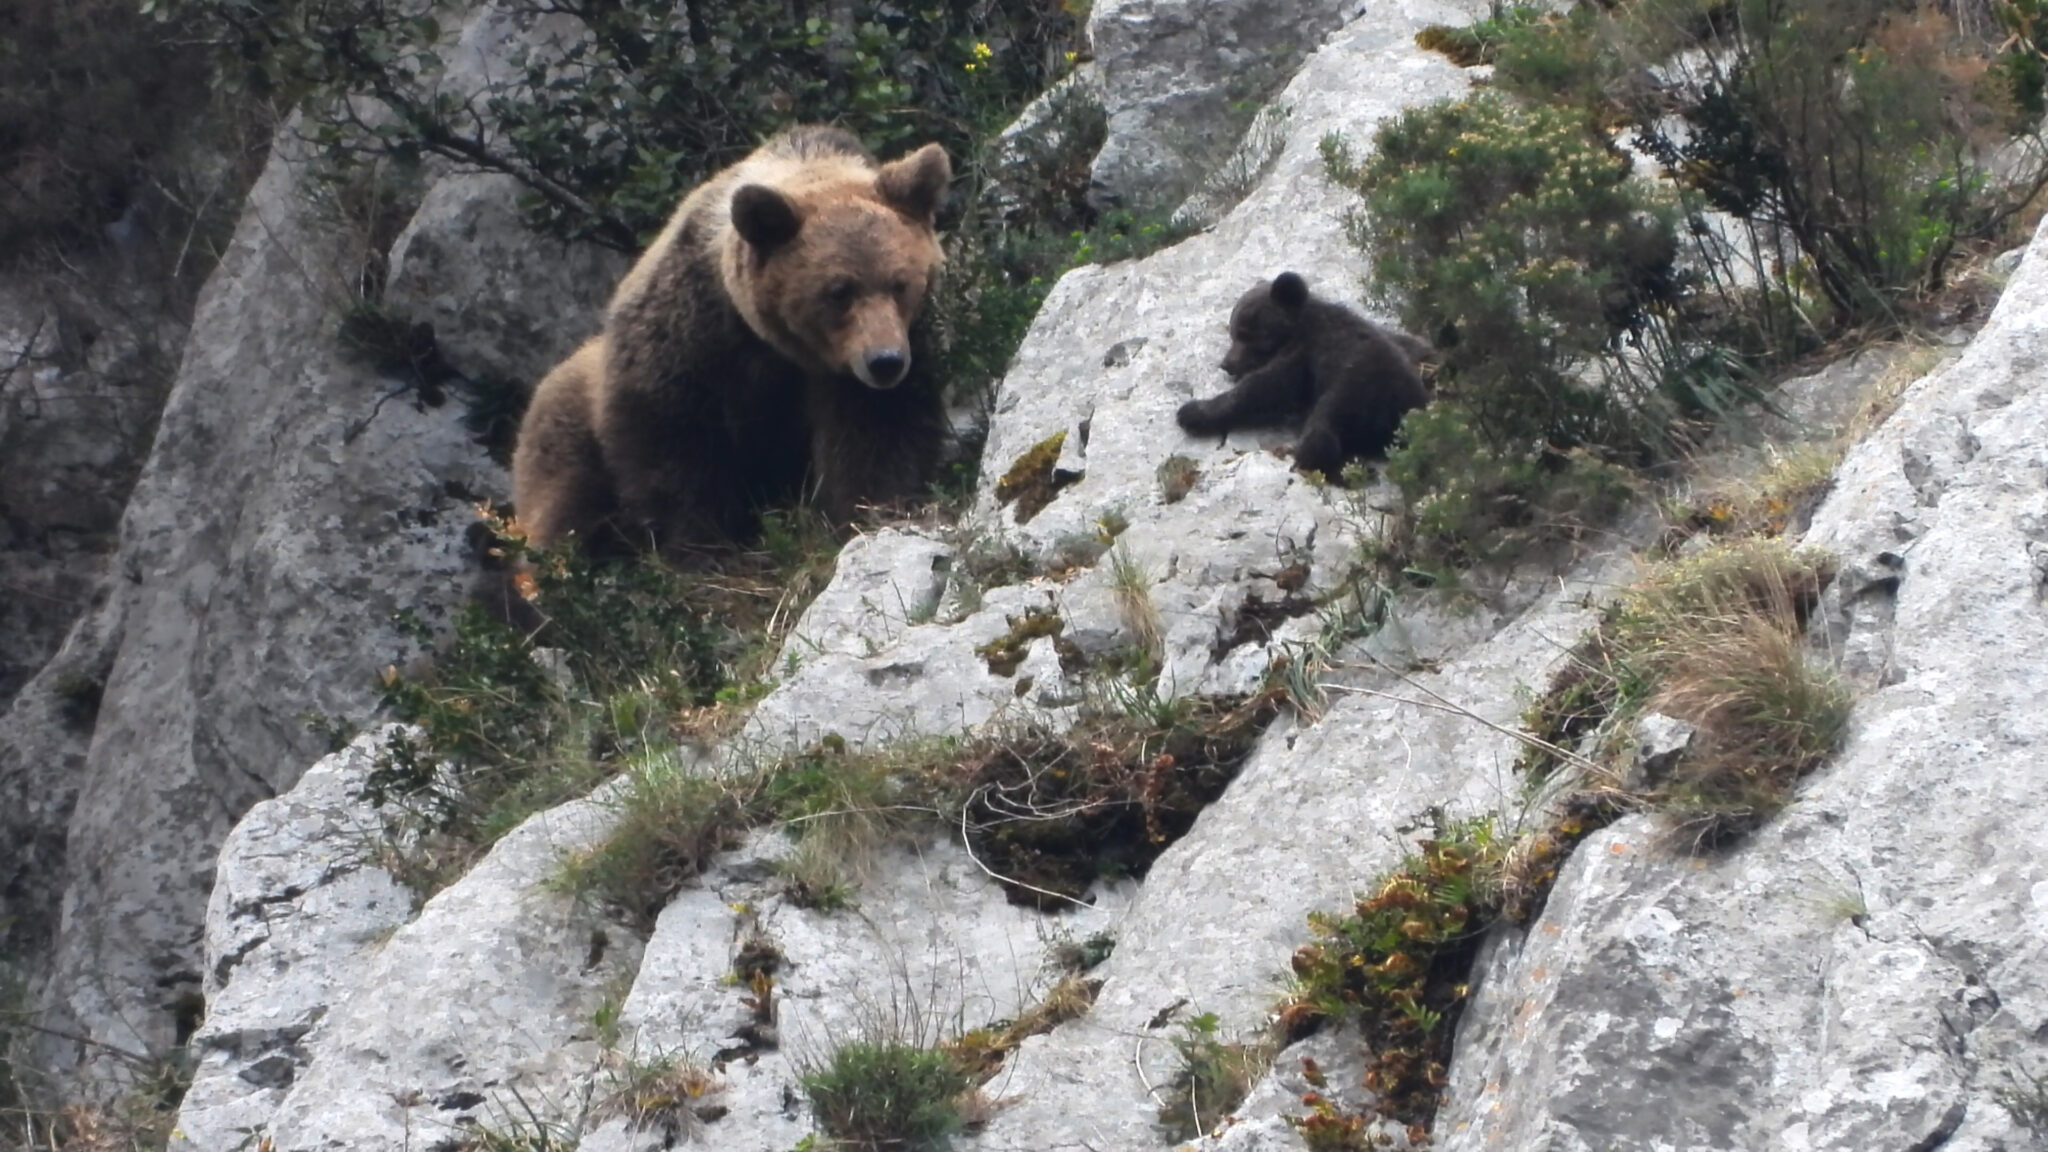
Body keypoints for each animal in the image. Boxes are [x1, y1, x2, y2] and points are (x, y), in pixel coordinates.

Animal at [511, 125, 952, 558]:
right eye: (839, 290)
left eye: (900, 283)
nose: (885, 361)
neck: (779, 347)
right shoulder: (690, 338)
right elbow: (678, 451)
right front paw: (702, 546)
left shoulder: (872, 363)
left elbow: (877, 433)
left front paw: (873, 510)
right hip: (567, 434)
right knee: (571, 510)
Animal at [1175, 271, 1432, 477]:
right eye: (1234, 331)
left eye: (1245, 333)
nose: (1227, 364)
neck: (1295, 327)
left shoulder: (1304, 353)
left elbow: (1263, 389)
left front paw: (1193, 412)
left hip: (1355, 393)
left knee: (1321, 430)